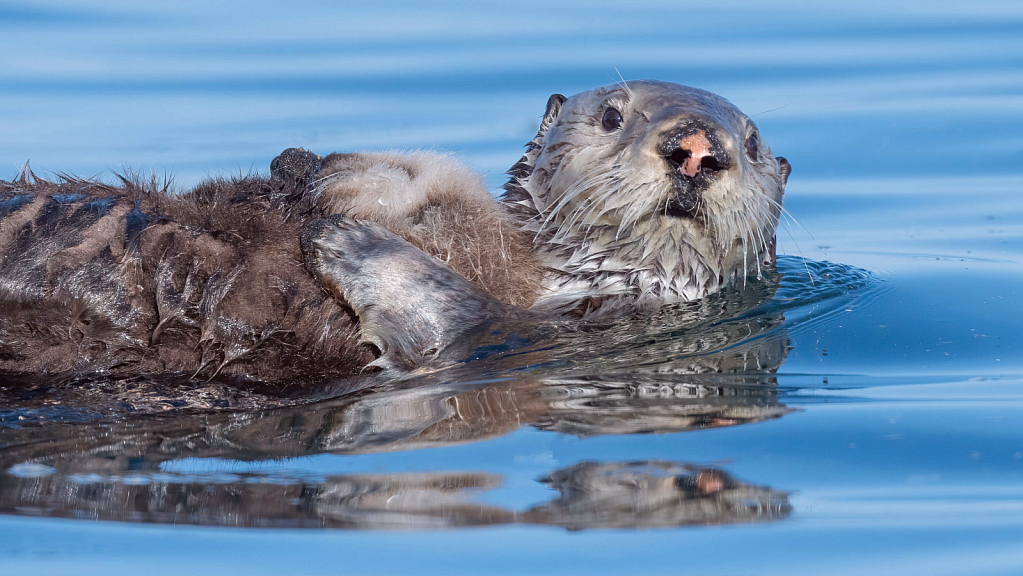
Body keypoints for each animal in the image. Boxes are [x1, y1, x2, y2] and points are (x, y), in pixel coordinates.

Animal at [0, 79, 789, 382]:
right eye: (611, 115)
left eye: (751, 144)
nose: (695, 146)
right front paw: (308, 171)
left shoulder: (500, 334)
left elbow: (446, 317)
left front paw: (337, 235)